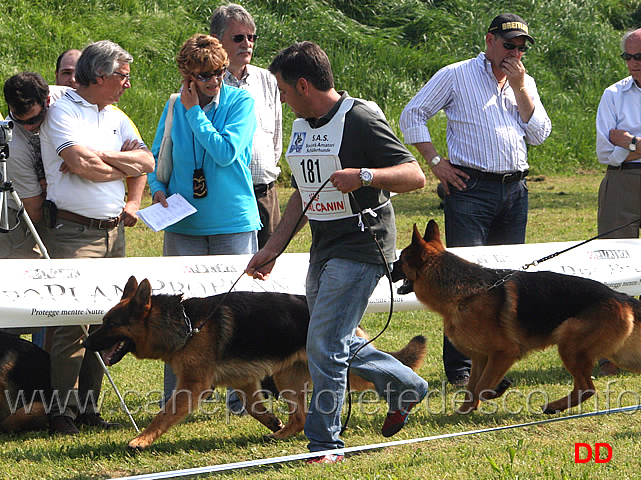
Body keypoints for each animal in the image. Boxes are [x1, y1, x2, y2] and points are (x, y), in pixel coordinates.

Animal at [85, 276, 424, 452]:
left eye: (110, 324)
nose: (86, 344)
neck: (187, 324)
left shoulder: (192, 387)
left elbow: (163, 415)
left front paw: (141, 439)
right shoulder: (244, 381)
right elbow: (253, 407)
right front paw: (272, 421)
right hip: (287, 379)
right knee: (300, 416)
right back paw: (281, 434)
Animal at [398, 219, 640, 414]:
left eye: (400, 260)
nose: (390, 267)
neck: (467, 294)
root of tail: (621, 297)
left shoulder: (504, 353)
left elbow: (482, 387)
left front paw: (496, 389)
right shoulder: (480, 357)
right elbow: (472, 388)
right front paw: (465, 410)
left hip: (569, 344)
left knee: (586, 388)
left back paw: (553, 406)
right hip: (621, 356)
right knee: (587, 387)